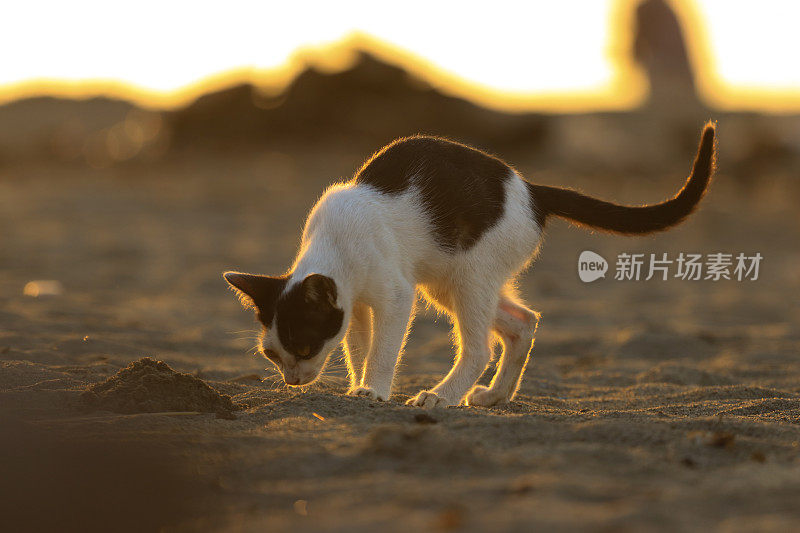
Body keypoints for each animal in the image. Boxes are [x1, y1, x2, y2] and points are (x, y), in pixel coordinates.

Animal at [225, 121, 720, 408]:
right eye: (272, 355)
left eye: (305, 346)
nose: (293, 381)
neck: (336, 244)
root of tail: (532, 190)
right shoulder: (355, 305)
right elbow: (359, 346)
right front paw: (359, 385)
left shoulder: (395, 294)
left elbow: (384, 349)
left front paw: (374, 389)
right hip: (451, 283)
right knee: (524, 321)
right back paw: (496, 396)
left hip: (468, 277)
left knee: (481, 347)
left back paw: (442, 396)